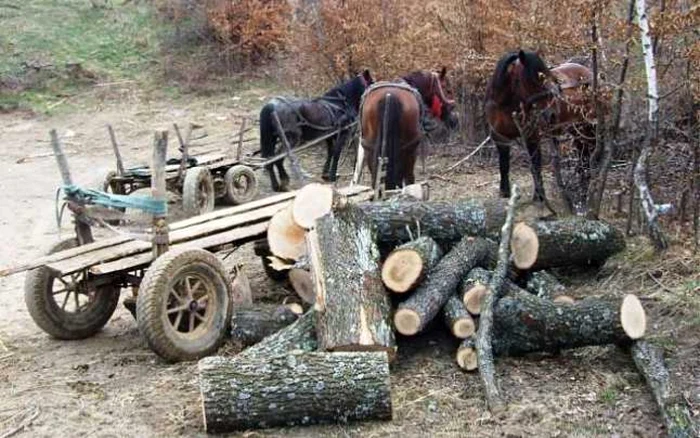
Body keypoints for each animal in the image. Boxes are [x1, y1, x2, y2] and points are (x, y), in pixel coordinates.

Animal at [486, 49, 600, 212]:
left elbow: (535, 166)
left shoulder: (532, 137)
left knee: (587, 158)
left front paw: (539, 196)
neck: (505, 105)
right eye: (531, 81)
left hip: (586, 129)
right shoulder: (500, 138)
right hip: (576, 131)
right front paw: (504, 192)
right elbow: (504, 165)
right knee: (583, 158)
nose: (551, 114)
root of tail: (588, 73)